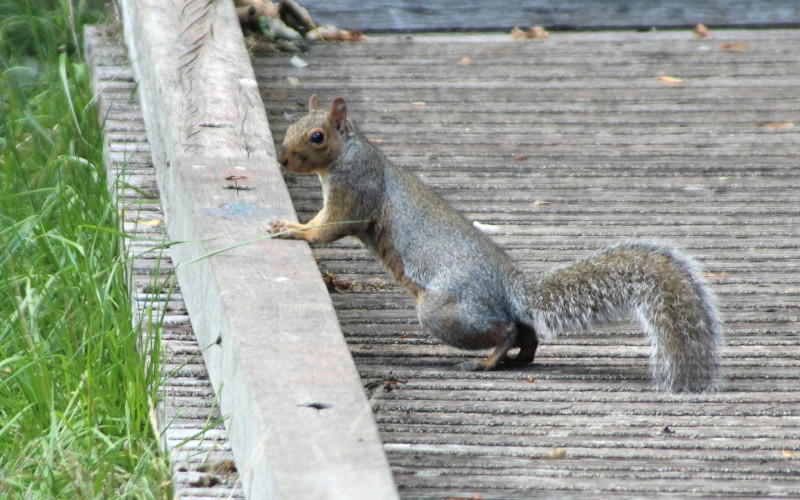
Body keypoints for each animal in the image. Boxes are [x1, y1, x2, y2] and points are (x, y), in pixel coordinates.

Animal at [269, 95, 724, 393]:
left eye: (316, 136)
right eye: (290, 127)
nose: (282, 160)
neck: (349, 153)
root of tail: (510, 287)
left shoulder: (356, 190)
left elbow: (328, 228)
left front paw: (294, 229)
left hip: (444, 310)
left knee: (505, 329)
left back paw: (487, 361)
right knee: (526, 331)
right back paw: (522, 357)